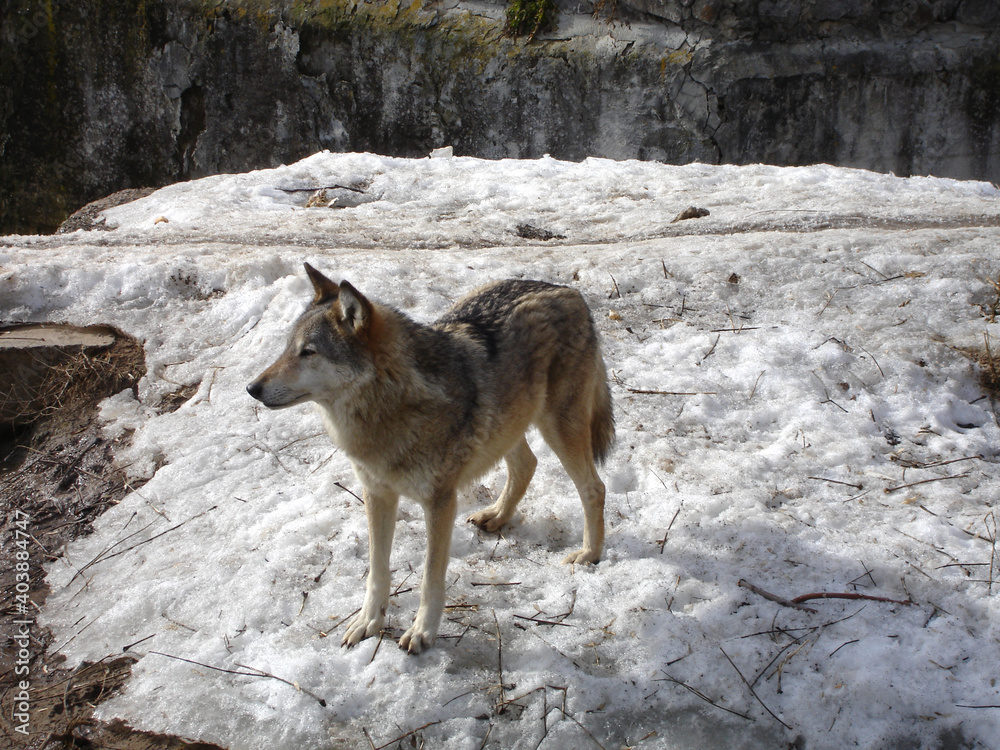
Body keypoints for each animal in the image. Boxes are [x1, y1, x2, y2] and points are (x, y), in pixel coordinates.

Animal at [247, 264, 614, 654]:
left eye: (309, 352)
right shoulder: (376, 494)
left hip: (557, 427)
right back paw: (497, 516)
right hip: (508, 425)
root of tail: (569, 291)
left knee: (594, 487)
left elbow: (429, 577)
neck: (389, 407)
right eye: (288, 348)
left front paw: (422, 632)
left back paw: (589, 554)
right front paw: (368, 622)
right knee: (527, 465)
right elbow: (377, 571)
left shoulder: (440, 502)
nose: (251, 388)